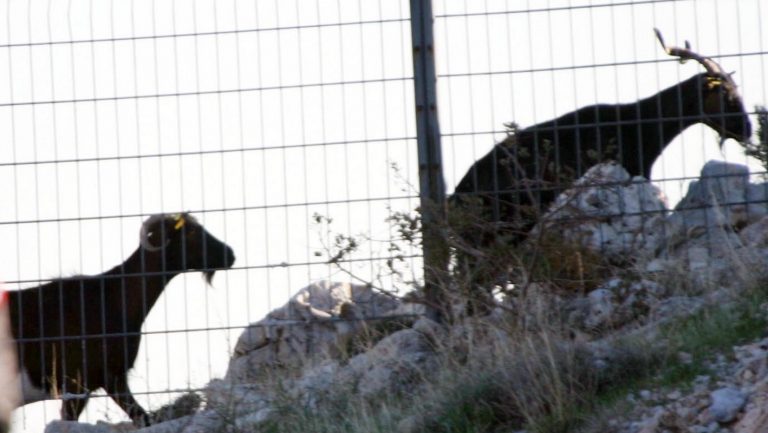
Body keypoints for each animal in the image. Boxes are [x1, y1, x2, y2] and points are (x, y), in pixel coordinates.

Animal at [9, 213, 236, 426]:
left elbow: (142, 416)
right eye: (190, 233)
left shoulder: (114, 377)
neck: (111, 298)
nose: (230, 254)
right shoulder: (80, 382)